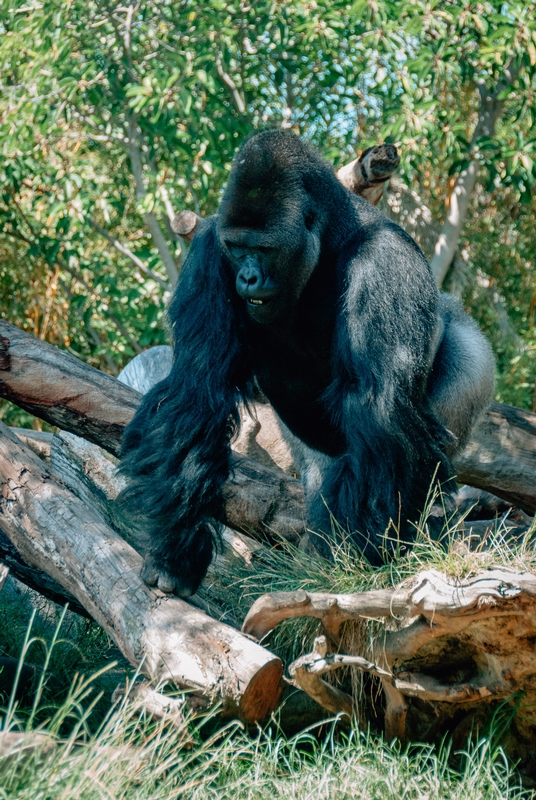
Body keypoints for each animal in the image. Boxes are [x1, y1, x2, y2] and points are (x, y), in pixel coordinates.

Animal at [119, 130, 496, 592]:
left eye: (264, 249)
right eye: (237, 247)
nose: (248, 278)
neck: (330, 235)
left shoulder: (384, 258)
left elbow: (379, 409)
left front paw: (364, 558)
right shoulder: (210, 245)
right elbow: (198, 387)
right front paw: (176, 550)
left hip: (472, 359)